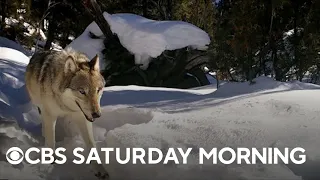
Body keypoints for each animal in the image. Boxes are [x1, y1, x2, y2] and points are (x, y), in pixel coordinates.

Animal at [24, 47, 109, 179]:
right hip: (40, 105)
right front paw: (50, 164)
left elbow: (91, 145)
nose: (97, 115)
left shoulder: (83, 118)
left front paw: (100, 169)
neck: (66, 107)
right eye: (82, 91)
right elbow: (51, 141)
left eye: (98, 90)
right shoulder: (50, 115)